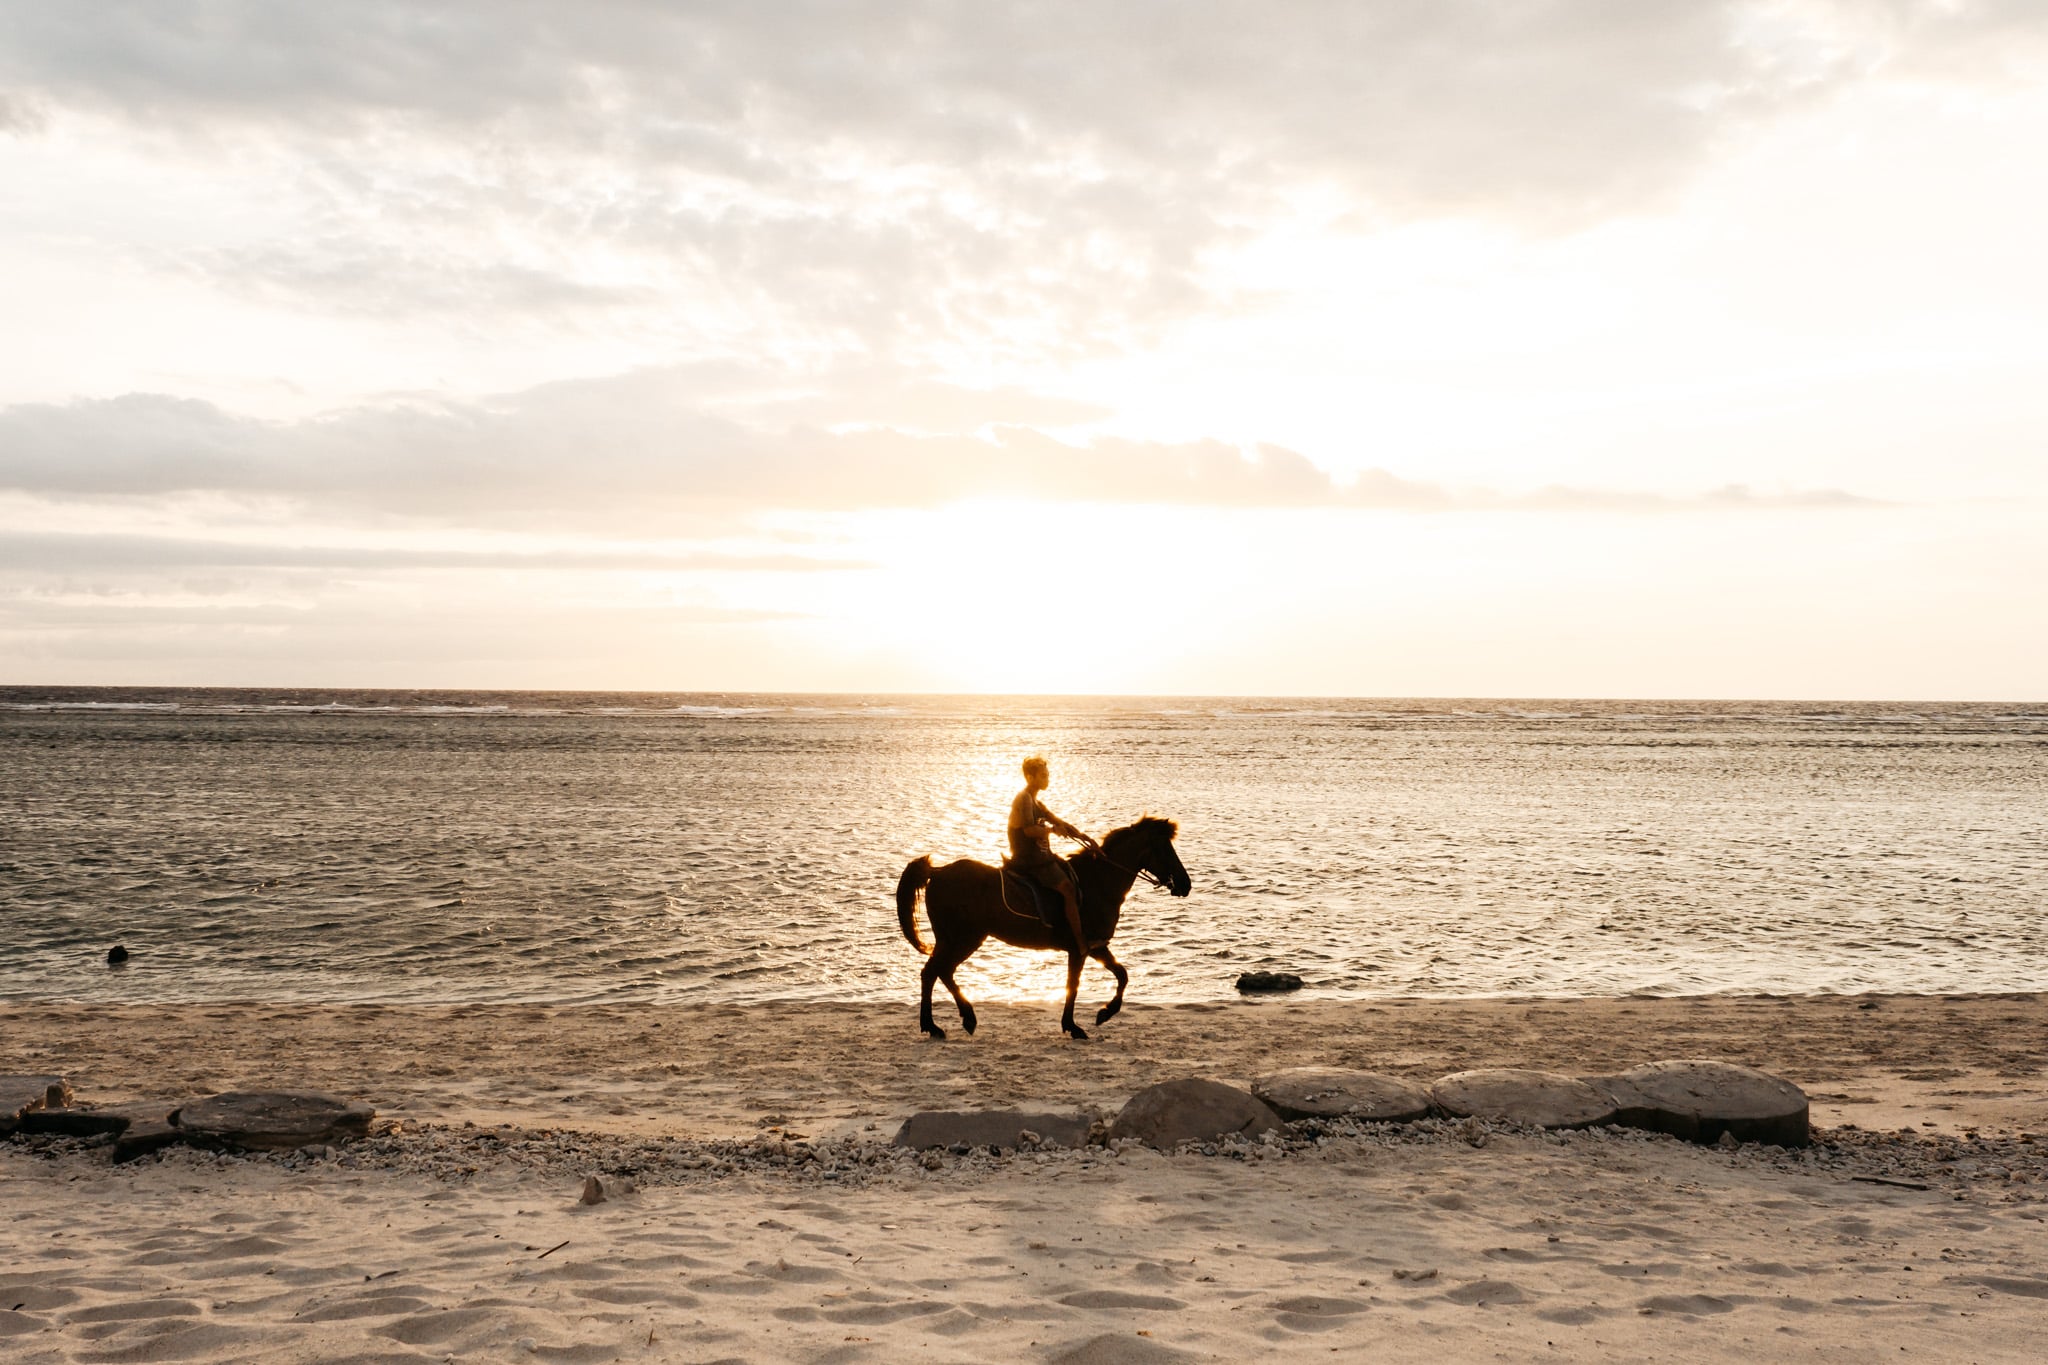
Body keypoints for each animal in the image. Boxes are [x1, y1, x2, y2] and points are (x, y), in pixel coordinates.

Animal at [895, 816, 1191, 1039]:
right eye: (1165, 849)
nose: (1185, 884)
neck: (1098, 883)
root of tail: (938, 872)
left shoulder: (1095, 946)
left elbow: (1122, 975)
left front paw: (1104, 1013)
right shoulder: (1080, 949)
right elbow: (1074, 985)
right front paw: (1073, 1025)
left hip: (955, 939)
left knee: (939, 972)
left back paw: (958, 1019)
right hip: (964, 938)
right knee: (934, 972)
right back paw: (937, 1024)